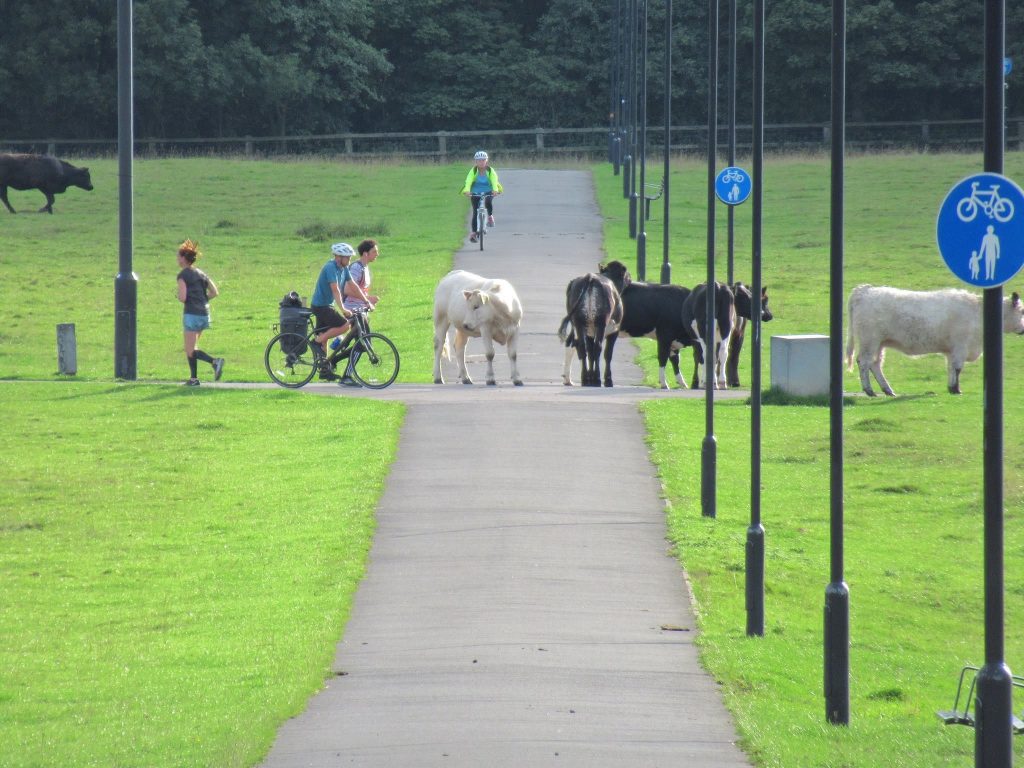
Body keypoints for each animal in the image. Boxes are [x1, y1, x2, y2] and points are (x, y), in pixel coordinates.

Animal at [593, 262, 696, 391]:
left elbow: (675, 360)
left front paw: (682, 383)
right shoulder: (665, 336)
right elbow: (663, 358)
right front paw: (664, 383)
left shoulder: (673, 341)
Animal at [843, 286, 1019, 399]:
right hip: (869, 341)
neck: (977, 311)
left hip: (879, 343)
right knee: (864, 363)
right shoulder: (960, 347)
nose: (1022, 330)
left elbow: (950, 368)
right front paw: (956, 389)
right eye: (1022, 311)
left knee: (875, 364)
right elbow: (957, 368)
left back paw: (888, 390)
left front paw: (951, 388)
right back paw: (869, 391)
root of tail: (865, 290)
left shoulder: (951, 351)